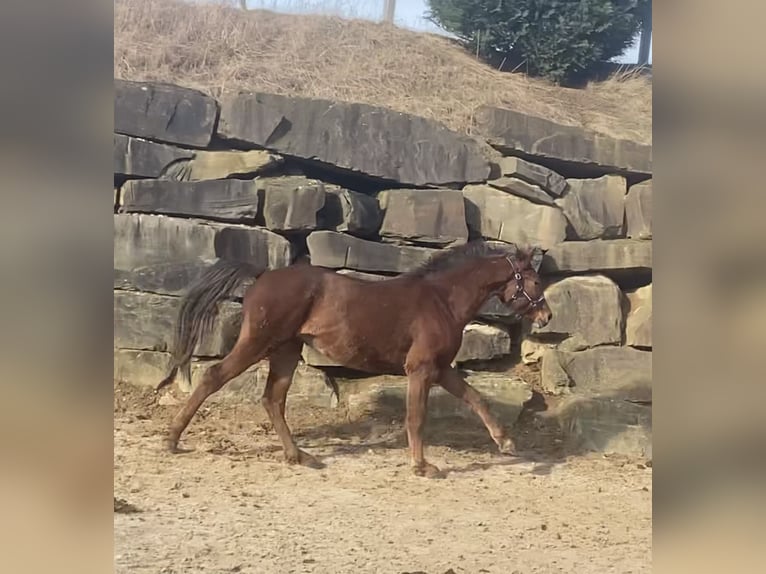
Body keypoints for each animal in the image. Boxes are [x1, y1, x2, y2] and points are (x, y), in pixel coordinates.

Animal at [158, 241, 552, 480]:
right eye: (534, 280)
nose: (546, 316)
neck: (441, 300)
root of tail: (263, 274)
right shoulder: (421, 369)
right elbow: (416, 417)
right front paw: (422, 465)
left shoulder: (440, 369)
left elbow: (476, 398)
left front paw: (505, 443)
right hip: (259, 343)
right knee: (213, 376)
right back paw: (172, 440)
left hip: (286, 351)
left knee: (273, 399)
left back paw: (299, 456)